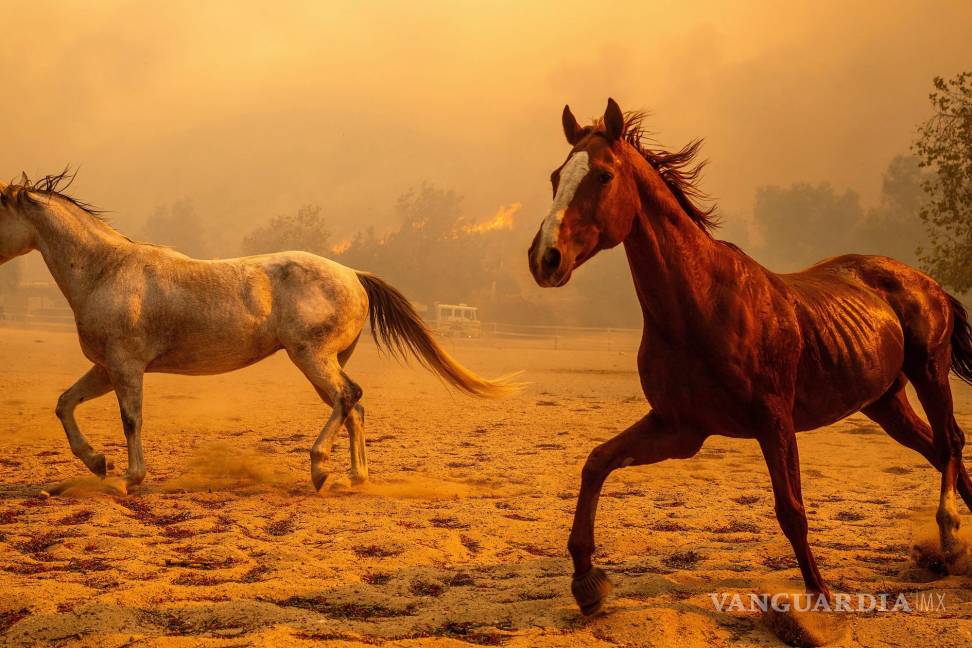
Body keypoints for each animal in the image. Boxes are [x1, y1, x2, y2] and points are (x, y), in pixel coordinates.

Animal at [0, 172, 520, 492]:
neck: (106, 270)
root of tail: (352, 275)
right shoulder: (106, 368)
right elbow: (64, 404)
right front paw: (97, 462)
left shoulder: (126, 368)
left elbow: (132, 420)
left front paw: (128, 477)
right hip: (324, 361)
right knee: (353, 407)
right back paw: (354, 478)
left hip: (311, 357)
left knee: (348, 398)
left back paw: (319, 467)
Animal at [528, 98, 972, 616]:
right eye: (555, 176)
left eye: (603, 175)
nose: (545, 258)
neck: (701, 304)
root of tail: (928, 283)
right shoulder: (679, 427)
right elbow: (597, 462)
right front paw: (587, 581)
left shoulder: (772, 420)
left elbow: (791, 509)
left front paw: (821, 597)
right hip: (885, 403)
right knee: (936, 448)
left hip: (929, 372)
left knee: (950, 442)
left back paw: (950, 534)